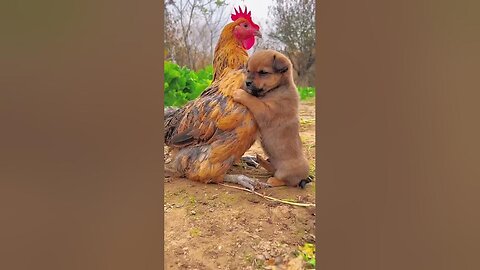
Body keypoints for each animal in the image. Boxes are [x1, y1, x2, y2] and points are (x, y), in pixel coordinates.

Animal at [233, 49, 310, 187]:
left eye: (263, 72)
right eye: (248, 70)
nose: (247, 82)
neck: (277, 88)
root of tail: (304, 177)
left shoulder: (266, 112)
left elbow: (252, 100)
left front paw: (240, 93)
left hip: (286, 172)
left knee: (285, 180)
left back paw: (273, 180)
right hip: (272, 161)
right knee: (272, 169)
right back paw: (261, 160)